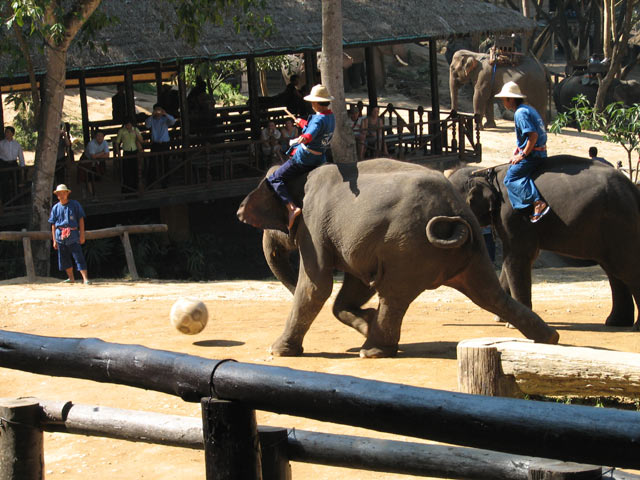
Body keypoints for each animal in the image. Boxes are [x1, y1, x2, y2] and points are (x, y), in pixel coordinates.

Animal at [238, 158, 556, 356]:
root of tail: (455, 211)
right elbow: (353, 286)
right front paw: (366, 320)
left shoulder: (313, 225)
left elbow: (317, 286)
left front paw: (277, 351)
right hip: (470, 248)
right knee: (487, 294)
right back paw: (549, 339)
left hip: (408, 248)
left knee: (393, 294)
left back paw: (373, 351)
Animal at [448, 157, 640, 330]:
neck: (484, 173)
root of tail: (632, 188)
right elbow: (511, 262)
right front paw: (500, 318)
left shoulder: (515, 216)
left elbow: (517, 259)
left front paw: (512, 325)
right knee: (614, 271)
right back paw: (616, 322)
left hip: (620, 223)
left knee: (626, 269)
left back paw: (634, 327)